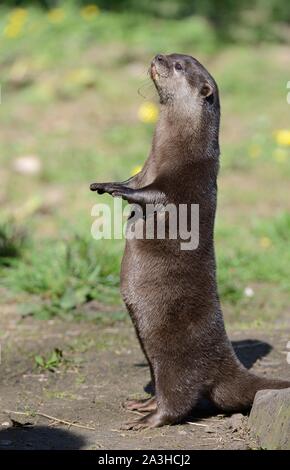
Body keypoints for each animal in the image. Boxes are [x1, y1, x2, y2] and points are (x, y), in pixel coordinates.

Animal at [90, 52, 290, 430]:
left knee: (179, 400)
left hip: (176, 359)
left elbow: (153, 195)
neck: (177, 150)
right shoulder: (143, 169)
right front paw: (108, 182)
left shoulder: (188, 182)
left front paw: (114, 189)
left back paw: (147, 420)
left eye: (179, 65)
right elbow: (133, 179)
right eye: (170, 55)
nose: (157, 56)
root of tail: (226, 364)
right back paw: (141, 403)